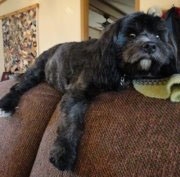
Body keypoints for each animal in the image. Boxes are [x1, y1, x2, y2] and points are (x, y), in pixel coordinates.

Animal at [0, 12, 177, 170]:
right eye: (131, 35)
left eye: (158, 36)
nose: (151, 45)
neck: (120, 70)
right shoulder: (76, 92)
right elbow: (71, 121)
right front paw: (63, 152)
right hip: (36, 71)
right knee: (18, 88)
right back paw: (6, 104)